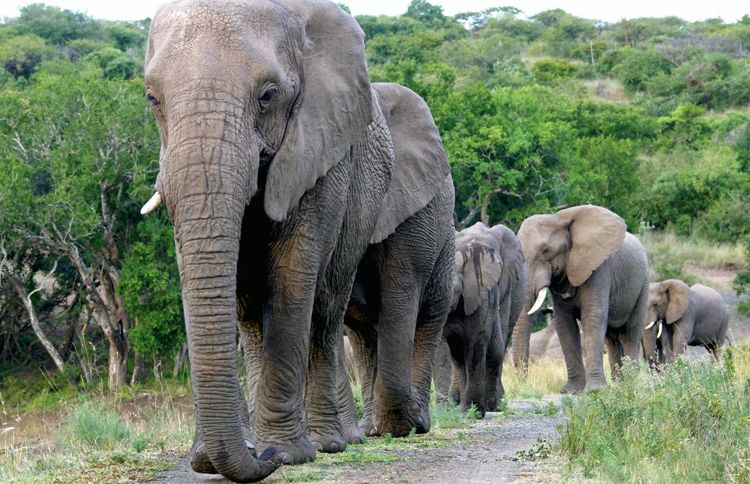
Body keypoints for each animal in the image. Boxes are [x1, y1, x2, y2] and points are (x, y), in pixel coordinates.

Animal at [142, 2, 452, 480]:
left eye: (268, 95)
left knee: (331, 311)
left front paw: (286, 455)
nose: (260, 456)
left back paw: (340, 440)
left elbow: (293, 278)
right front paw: (211, 459)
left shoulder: (322, 155)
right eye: (152, 99)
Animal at [440, 222, 528, 416]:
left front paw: (474, 411)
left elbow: (477, 342)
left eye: (499, 265)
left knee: (498, 343)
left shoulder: (496, 287)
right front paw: (454, 409)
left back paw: (491, 405)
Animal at [512, 204, 652, 394]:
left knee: (630, 332)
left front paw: (594, 390)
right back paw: (618, 386)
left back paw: (630, 384)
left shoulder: (599, 270)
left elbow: (592, 318)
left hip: (643, 285)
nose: (524, 384)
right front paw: (571, 391)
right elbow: (565, 324)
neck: (557, 218)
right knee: (611, 339)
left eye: (546, 251)